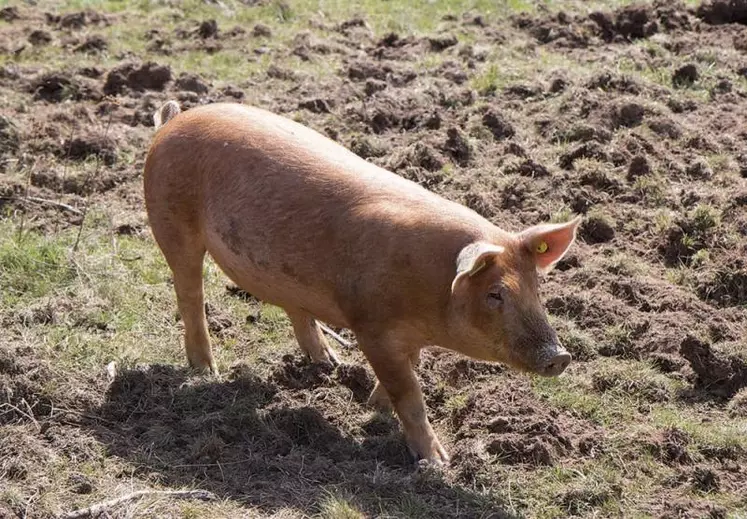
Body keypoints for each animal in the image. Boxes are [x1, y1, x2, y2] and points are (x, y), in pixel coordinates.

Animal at [143, 99, 580, 466]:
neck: (433, 293)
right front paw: (438, 462)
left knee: (294, 309)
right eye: (495, 295)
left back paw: (330, 362)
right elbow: (410, 393)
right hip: (170, 222)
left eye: (536, 289)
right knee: (189, 293)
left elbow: (408, 374)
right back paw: (207, 370)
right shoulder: (371, 326)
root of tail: (173, 121)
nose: (560, 356)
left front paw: (373, 408)